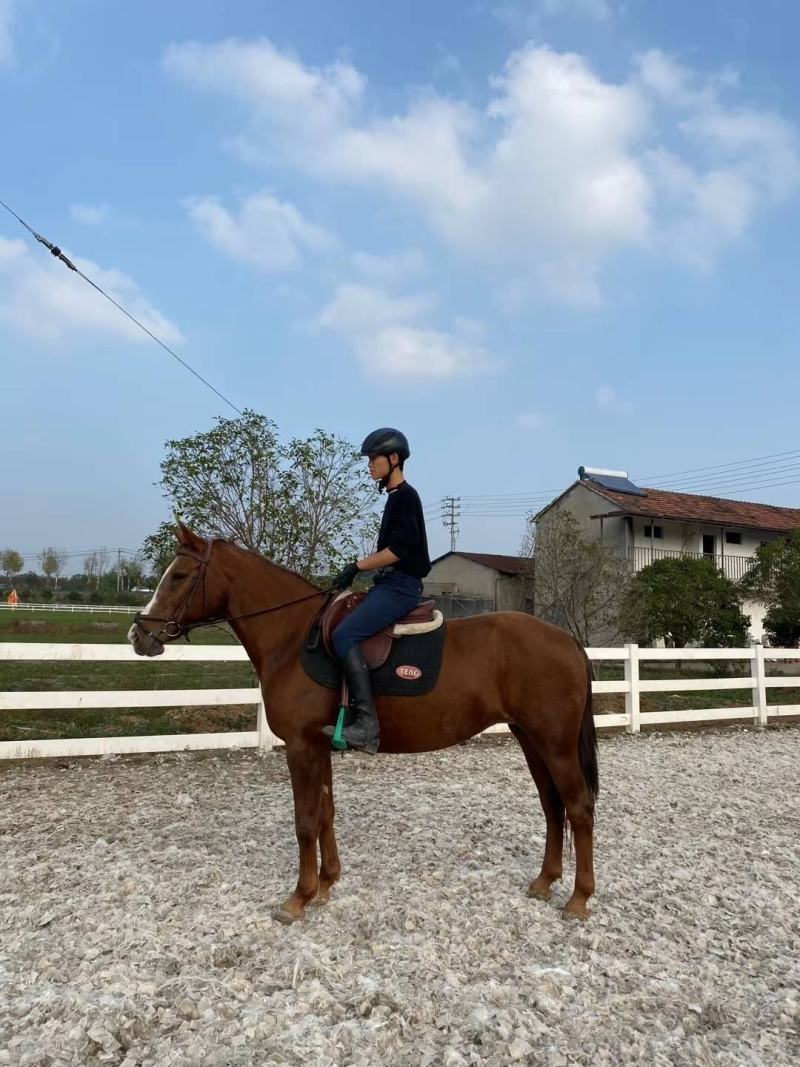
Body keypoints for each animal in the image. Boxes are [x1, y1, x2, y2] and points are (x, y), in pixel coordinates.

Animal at [128, 525, 599, 922]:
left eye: (179, 575)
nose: (138, 635)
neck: (293, 637)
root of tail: (567, 640)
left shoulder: (301, 748)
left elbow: (304, 821)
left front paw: (298, 898)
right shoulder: (318, 747)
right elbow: (326, 813)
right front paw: (326, 884)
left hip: (554, 743)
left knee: (578, 807)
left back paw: (578, 899)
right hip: (531, 739)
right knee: (552, 805)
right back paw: (544, 882)